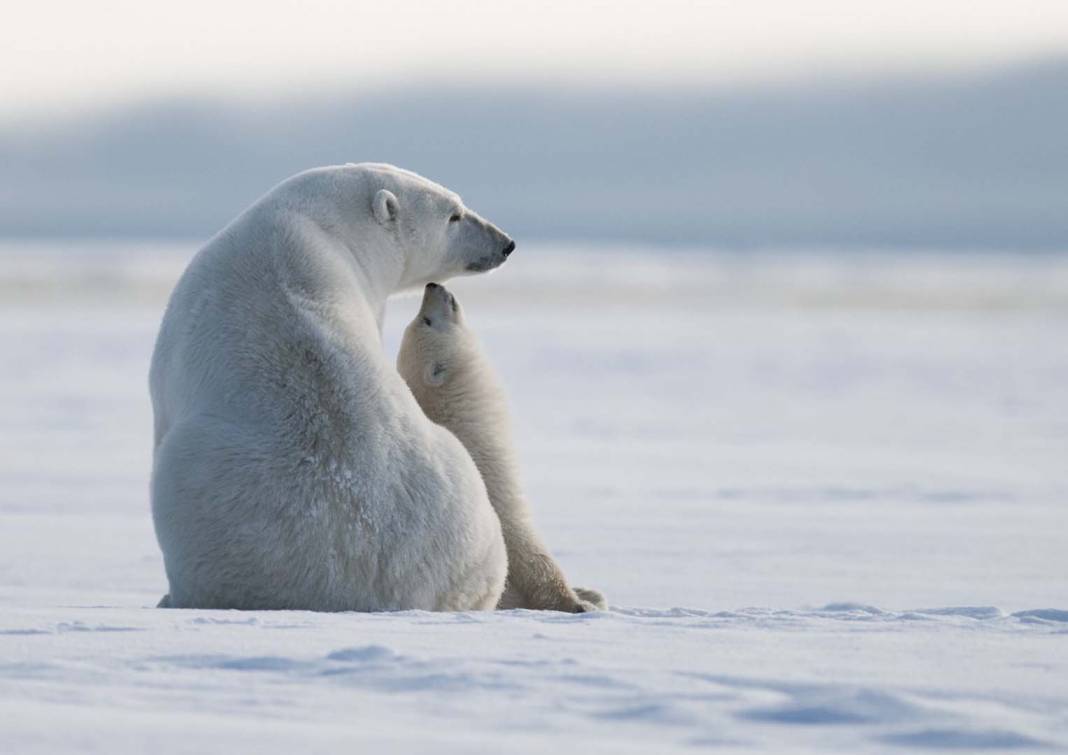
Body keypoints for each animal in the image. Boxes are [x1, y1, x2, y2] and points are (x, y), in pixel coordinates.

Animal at [397, 284, 606, 615]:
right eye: (426, 320)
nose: (433, 286)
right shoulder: (496, 490)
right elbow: (530, 555)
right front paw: (579, 604)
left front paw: (590, 593)